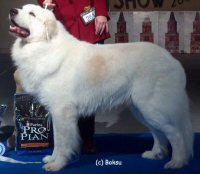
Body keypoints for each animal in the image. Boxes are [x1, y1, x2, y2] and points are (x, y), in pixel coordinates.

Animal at [9, 4, 194, 171]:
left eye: (32, 14)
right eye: (22, 8)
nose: (12, 11)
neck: (46, 46)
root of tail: (173, 60)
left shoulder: (62, 111)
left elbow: (62, 142)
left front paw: (57, 164)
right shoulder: (56, 112)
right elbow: (58, 141)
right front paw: (52, 159)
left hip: (152, 107)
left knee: (175, 134)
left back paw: (177, 162)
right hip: (141, 109)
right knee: (158, 133)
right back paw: (155, 154)